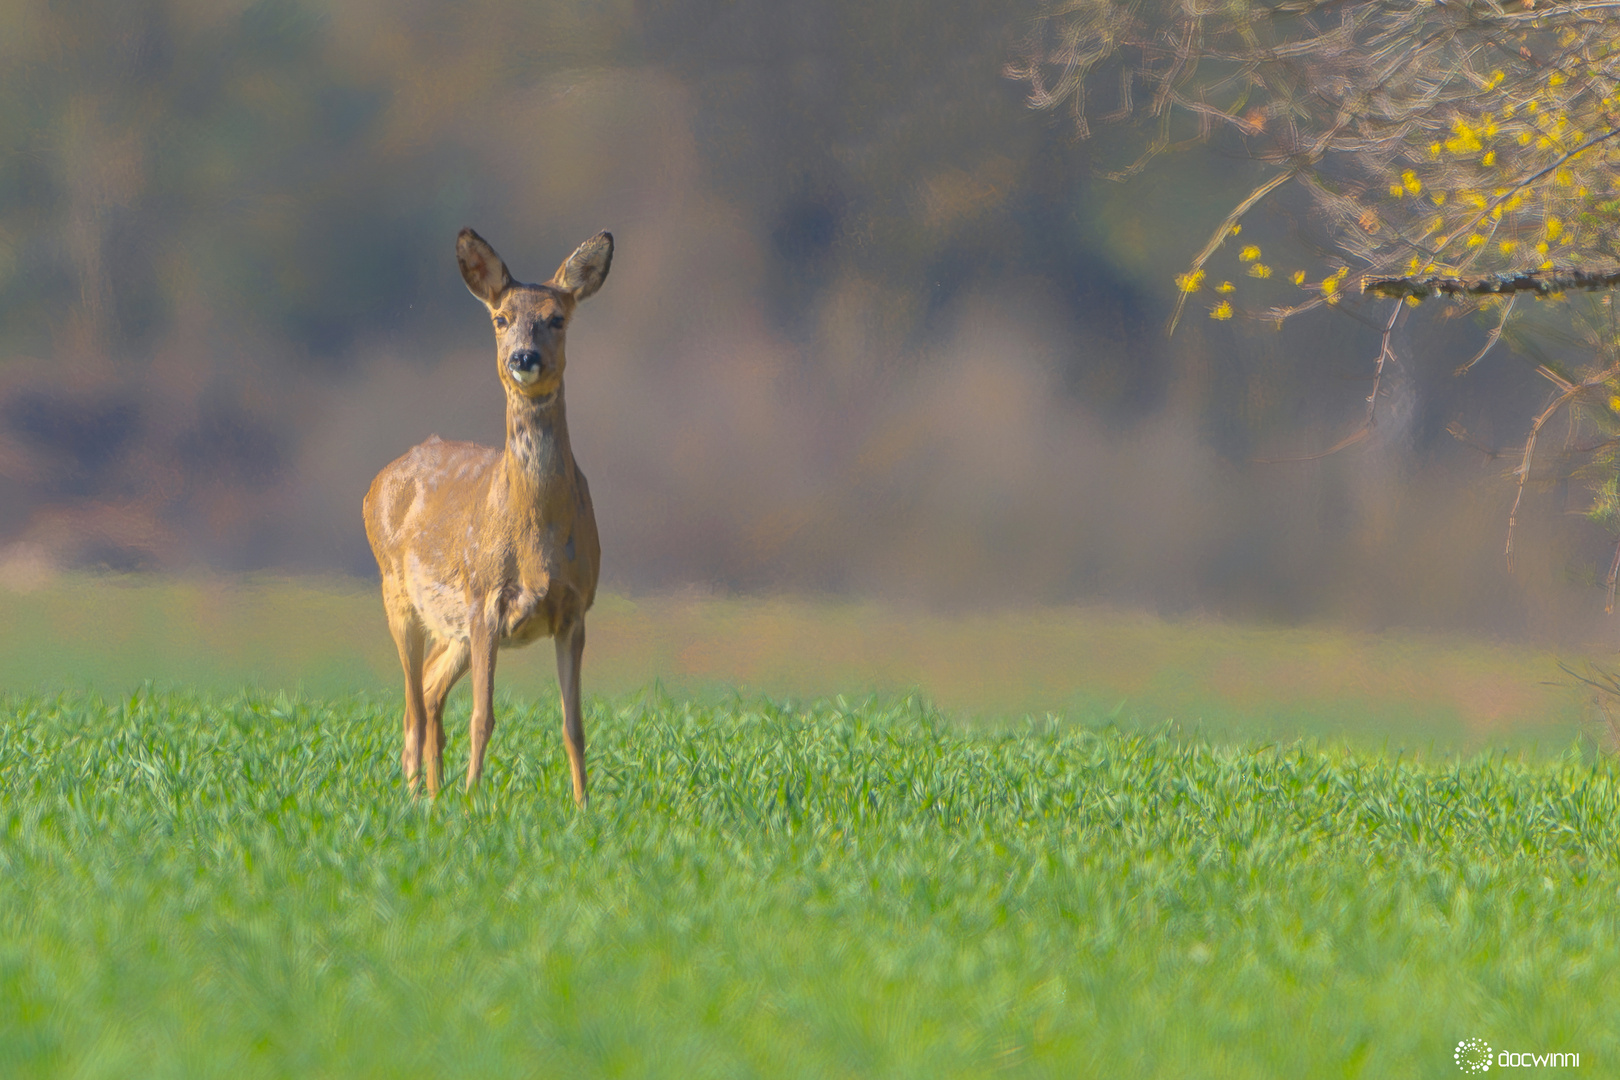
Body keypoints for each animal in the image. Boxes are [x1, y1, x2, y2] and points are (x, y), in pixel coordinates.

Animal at [364, 228, 609, 803]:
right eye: (501, 318)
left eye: (557, 318)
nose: (524, 355)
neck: (536, 534)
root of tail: (377, 482)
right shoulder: (485, 600)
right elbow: (483, 716)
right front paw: (475, 799)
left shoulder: (576, 608)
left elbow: (574, 724)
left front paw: (584, 806)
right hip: (397, 593)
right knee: (413, 706)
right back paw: (417, 797)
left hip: (450, 628)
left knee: (429, 694)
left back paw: (433, 795)